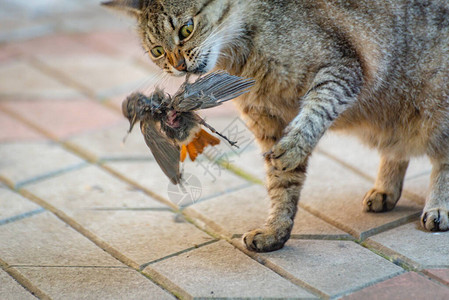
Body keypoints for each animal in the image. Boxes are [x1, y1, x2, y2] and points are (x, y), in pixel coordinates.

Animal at [102, 0, 448, 252]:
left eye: (186, 29)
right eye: (157, 51)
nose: (178, 65)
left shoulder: (342, 68)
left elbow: (316, 110)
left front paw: (294, 146)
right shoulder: (264, 120)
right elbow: (281, 183)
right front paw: (276, 231)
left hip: (435, 103)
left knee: (441, 157)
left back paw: (439, 207)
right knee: (396, 148)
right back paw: (386, 189)